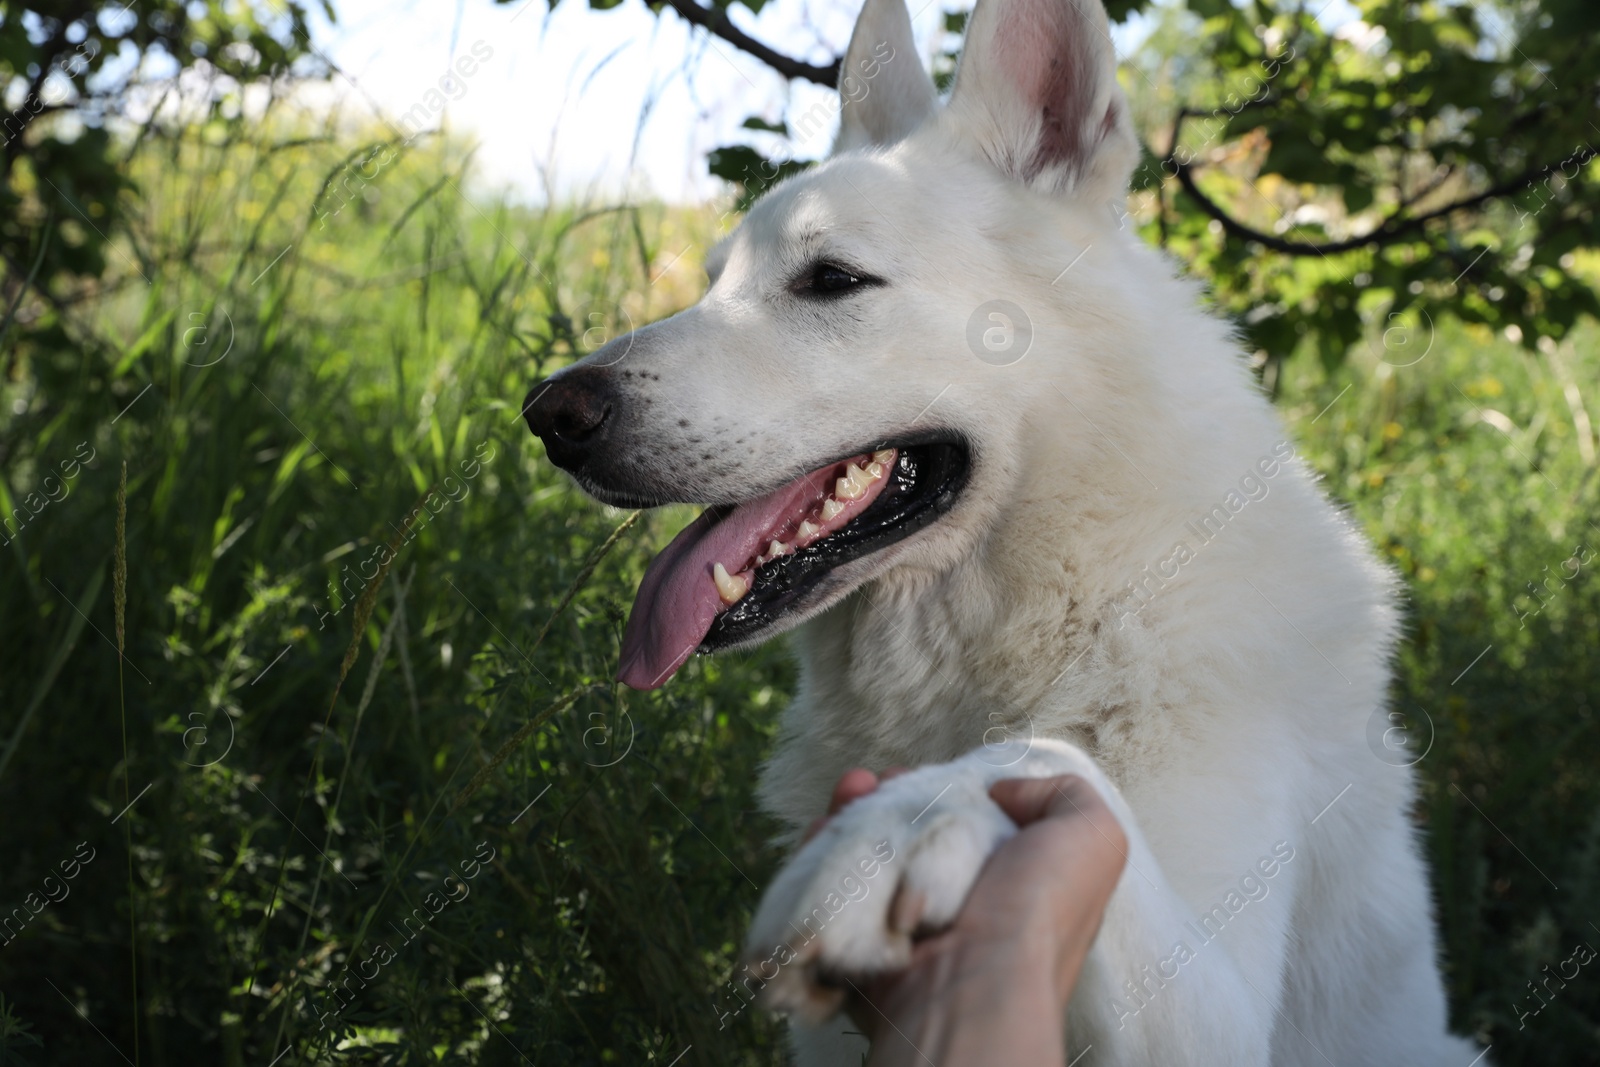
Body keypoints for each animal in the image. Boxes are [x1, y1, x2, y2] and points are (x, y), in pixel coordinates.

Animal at [524, 0, 1484, 1062]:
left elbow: (1043, 758)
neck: (1076, 593)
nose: (548, 416)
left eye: (832, 279)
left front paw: (897, 835)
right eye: (711, 282)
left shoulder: (1224, 1011)